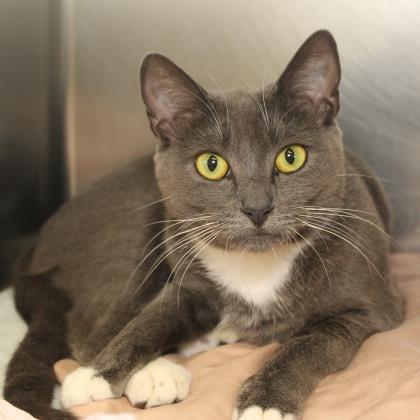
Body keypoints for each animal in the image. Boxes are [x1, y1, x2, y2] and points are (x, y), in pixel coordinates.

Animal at [5, 30, 404, 420]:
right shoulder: (189, 282)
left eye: (291, 157)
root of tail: (36, 244)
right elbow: (153, 317)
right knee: (90, 327)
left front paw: (266, 401)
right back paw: (155, 374)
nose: (257, 208)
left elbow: (310, 344)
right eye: (211, 164)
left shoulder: (369, 308)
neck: (256, 269)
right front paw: (96, 376)